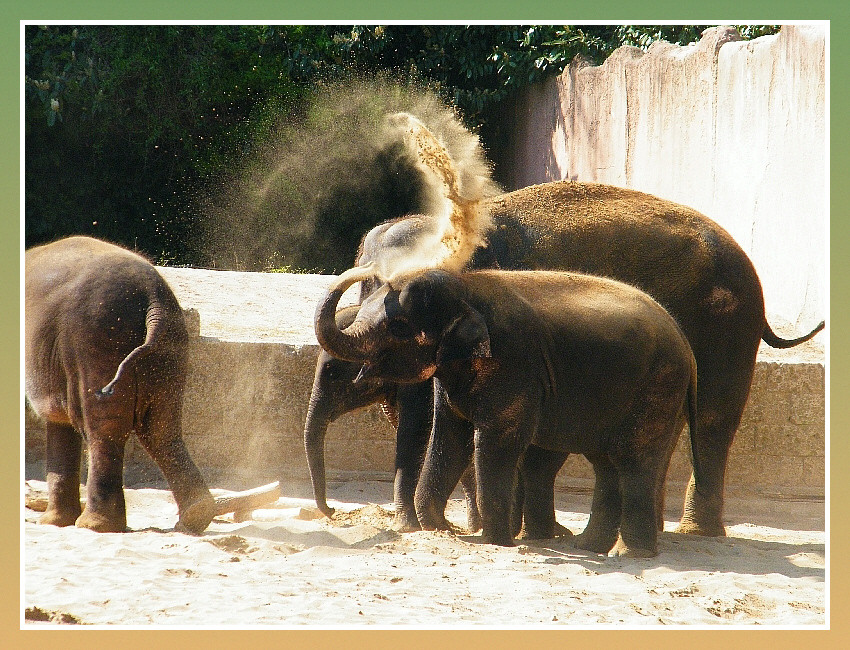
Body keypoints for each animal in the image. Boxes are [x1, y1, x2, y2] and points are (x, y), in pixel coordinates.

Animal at [25, 235, 215, 536]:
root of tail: (153, 300)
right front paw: (54, 523)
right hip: (168, 349)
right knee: (161, 429)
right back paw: (194, 517)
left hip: (98, 339)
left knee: (104, 430)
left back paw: (95, 526)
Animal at [314, 266, 700, 556]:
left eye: (399, 327)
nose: (331, 512)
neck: (466, 286)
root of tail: (686, 344)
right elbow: (450, 438)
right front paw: (440, 529)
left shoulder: (513, 362)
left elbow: (496, 442)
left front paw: (495, 542)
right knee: (606, 464)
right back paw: (589, 547)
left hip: (657, 386)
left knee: (634, 460)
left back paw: (627, 554)